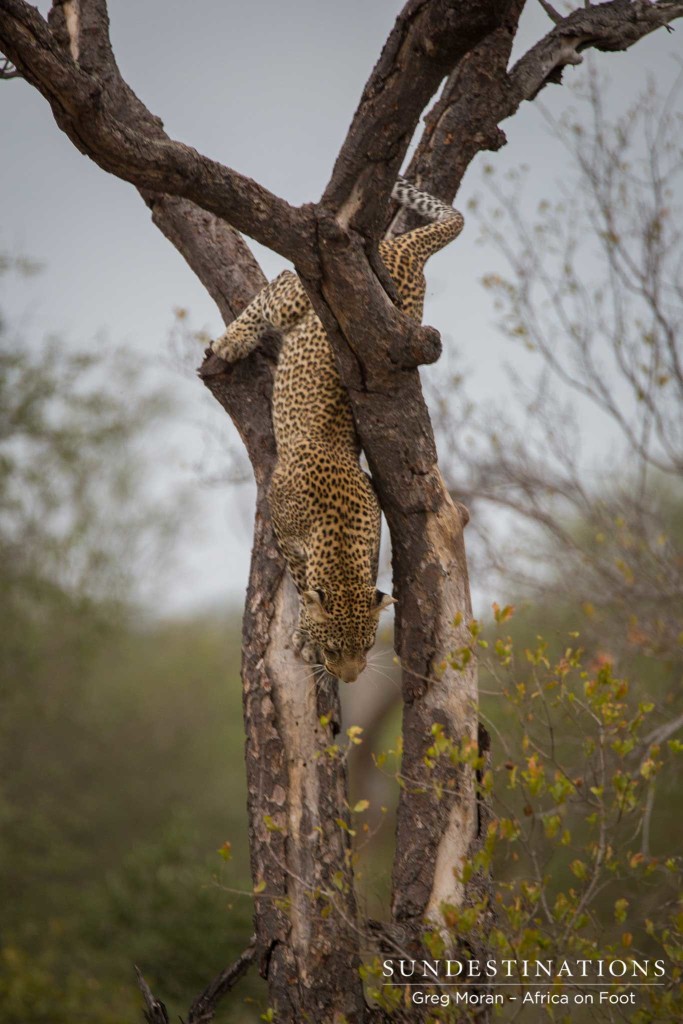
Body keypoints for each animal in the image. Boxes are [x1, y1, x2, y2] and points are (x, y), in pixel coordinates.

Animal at [211, 180, 464, 684]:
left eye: (365, 645)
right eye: (332, 647)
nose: (349, 678)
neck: (340, 539)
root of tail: (398, 248)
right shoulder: (282, 528)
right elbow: (299, 581)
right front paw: (300, 634)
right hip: (300, 295)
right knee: (274, 288)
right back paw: (232, 340)